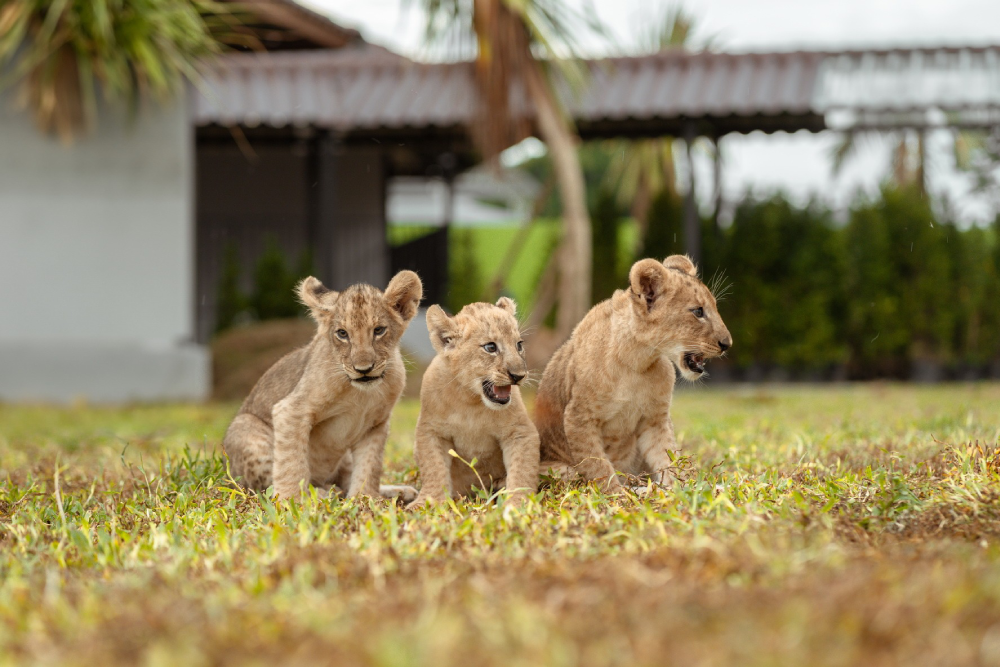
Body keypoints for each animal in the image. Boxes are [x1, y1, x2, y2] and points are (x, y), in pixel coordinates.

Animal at [222, 270, 423, 501]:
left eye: (379, 330)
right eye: (342, 334)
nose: (363, 369)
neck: (361, 394)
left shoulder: (376, 424)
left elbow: (369, 466)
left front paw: (365, 498)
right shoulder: (291, 410)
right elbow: (291, 463)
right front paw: (290, 500)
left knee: (345, 481)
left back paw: (396, 491)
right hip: (245, 429)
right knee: (265, 486)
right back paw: (321, 493)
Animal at [408, 298, 540, 508]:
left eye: (519, 345)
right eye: (490, 347)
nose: (519, 375)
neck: (470, 399)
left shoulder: (520, 431)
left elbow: (522, 470)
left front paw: (518, 503)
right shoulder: (431, 430)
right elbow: (434, 468)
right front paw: (428, 502)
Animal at [534, 255, 732, 493]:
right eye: (698, 312)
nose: (727, 344)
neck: (636, 360)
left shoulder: (655, 419)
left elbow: (667, 457)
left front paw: (679, 490)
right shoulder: (579, 418)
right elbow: (598, 466)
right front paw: (618, 495)